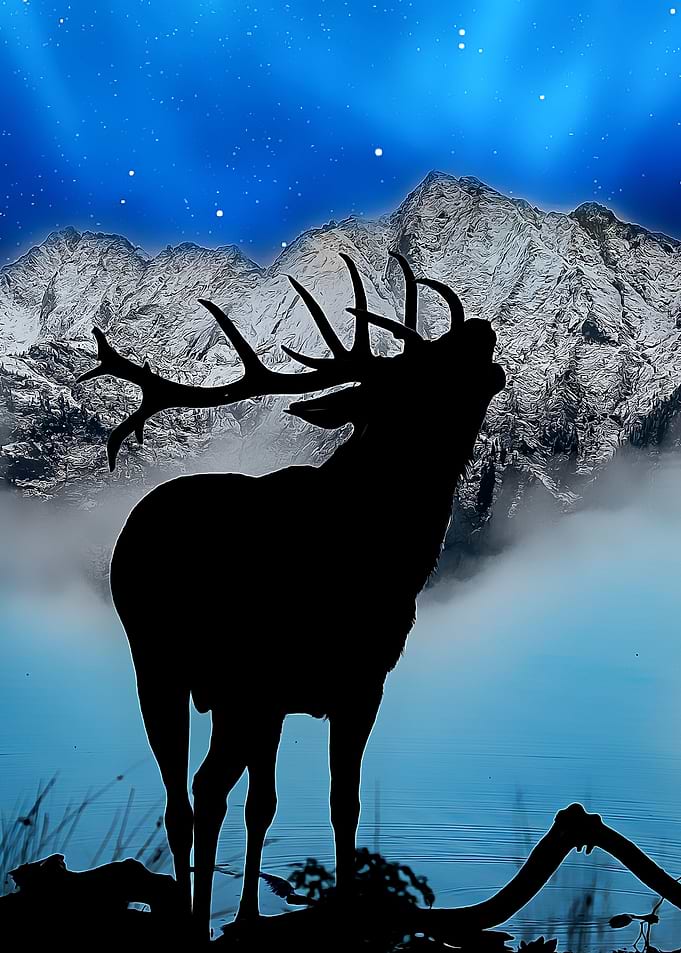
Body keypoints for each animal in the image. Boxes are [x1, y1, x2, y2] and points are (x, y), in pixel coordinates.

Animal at [76, 250, 505, 938]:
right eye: (414, 378)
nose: (480, 329)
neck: (393, 553)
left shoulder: (304, 693)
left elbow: (288, 802)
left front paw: (261, 913)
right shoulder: (336, 681)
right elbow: (322, 802)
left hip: (198, 681)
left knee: (195, 794)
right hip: (187, 670)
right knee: (196, 791)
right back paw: (192, 917)